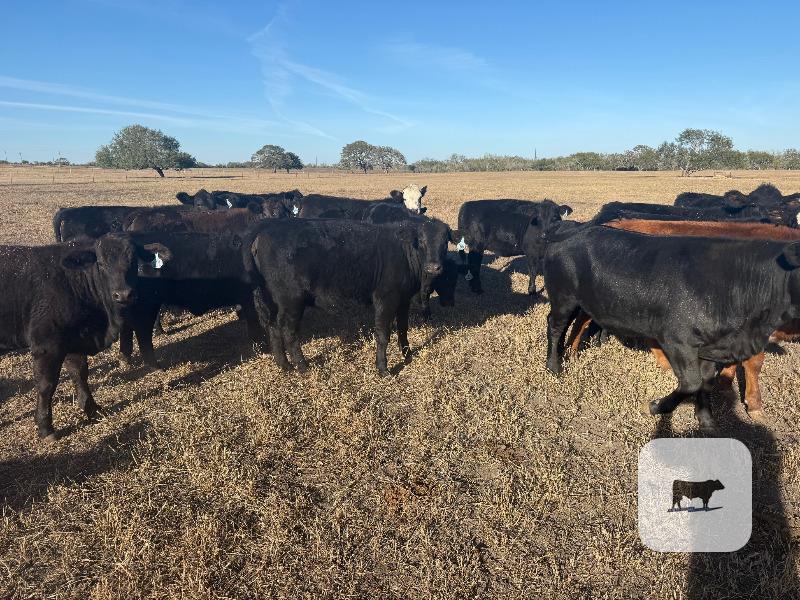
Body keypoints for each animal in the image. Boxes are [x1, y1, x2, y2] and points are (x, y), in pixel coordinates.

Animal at [0, 234, 170, 440]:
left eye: (133, 260)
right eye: (101, 263)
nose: (123, 295)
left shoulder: (76, 340)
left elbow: (80, 373)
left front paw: (92, 409)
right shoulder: (46, 345)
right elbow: (46, 385)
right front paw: (46, 428)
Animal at [118, 231, 265, 369]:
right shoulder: (249, 297)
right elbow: (254, 324)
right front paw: (260, 347)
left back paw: (126, 359)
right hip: (145, 305)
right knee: (142, 332)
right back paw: (154, 365)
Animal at [244, 217, 451, 375]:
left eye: (444, 243)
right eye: (422, 242)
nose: (434, 267)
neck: (405, 254)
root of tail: (266, 228)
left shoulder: (403, 300)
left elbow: (402, 329)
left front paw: (407, 356)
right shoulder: (386, 298)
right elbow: (383, 334)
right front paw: (383, 369)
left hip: (270, 300)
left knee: (273, 328)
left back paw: (285, 365)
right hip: (291, 301)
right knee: (288, 331)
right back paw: (303, 367)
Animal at [543, 225, 800, 430]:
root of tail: (573, 230)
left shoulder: (711, 347)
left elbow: (706, 381)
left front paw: (706, 419)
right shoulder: (676, 340)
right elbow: (691, 382)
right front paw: (656, 406)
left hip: (585, 302)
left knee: (578, 323)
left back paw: (571, 355)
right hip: (563, 298)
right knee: (555, 327)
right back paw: (554, 367)